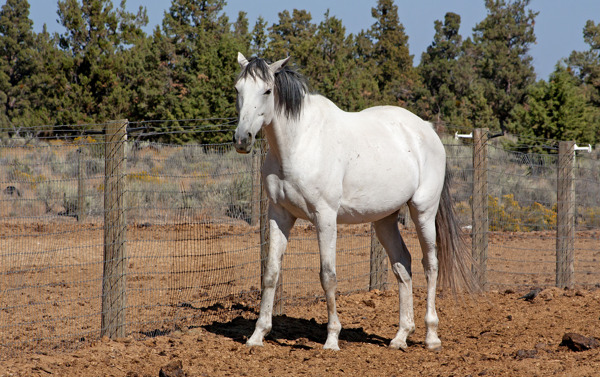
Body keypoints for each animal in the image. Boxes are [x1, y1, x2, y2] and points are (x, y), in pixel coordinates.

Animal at [233, 52, 474, 350]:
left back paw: (431, 336)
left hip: (423, 213)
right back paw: (401, 336)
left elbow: (328, 276)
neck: (299, 143)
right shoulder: (279, 215)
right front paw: (257, 335)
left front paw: (332, 339)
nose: (242, 139)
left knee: (430, 265)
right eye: (238, 90)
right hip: (384, 220)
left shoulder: (325, 217)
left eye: (267, 90)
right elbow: (270, 274)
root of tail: (427, 131)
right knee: (403, 265)